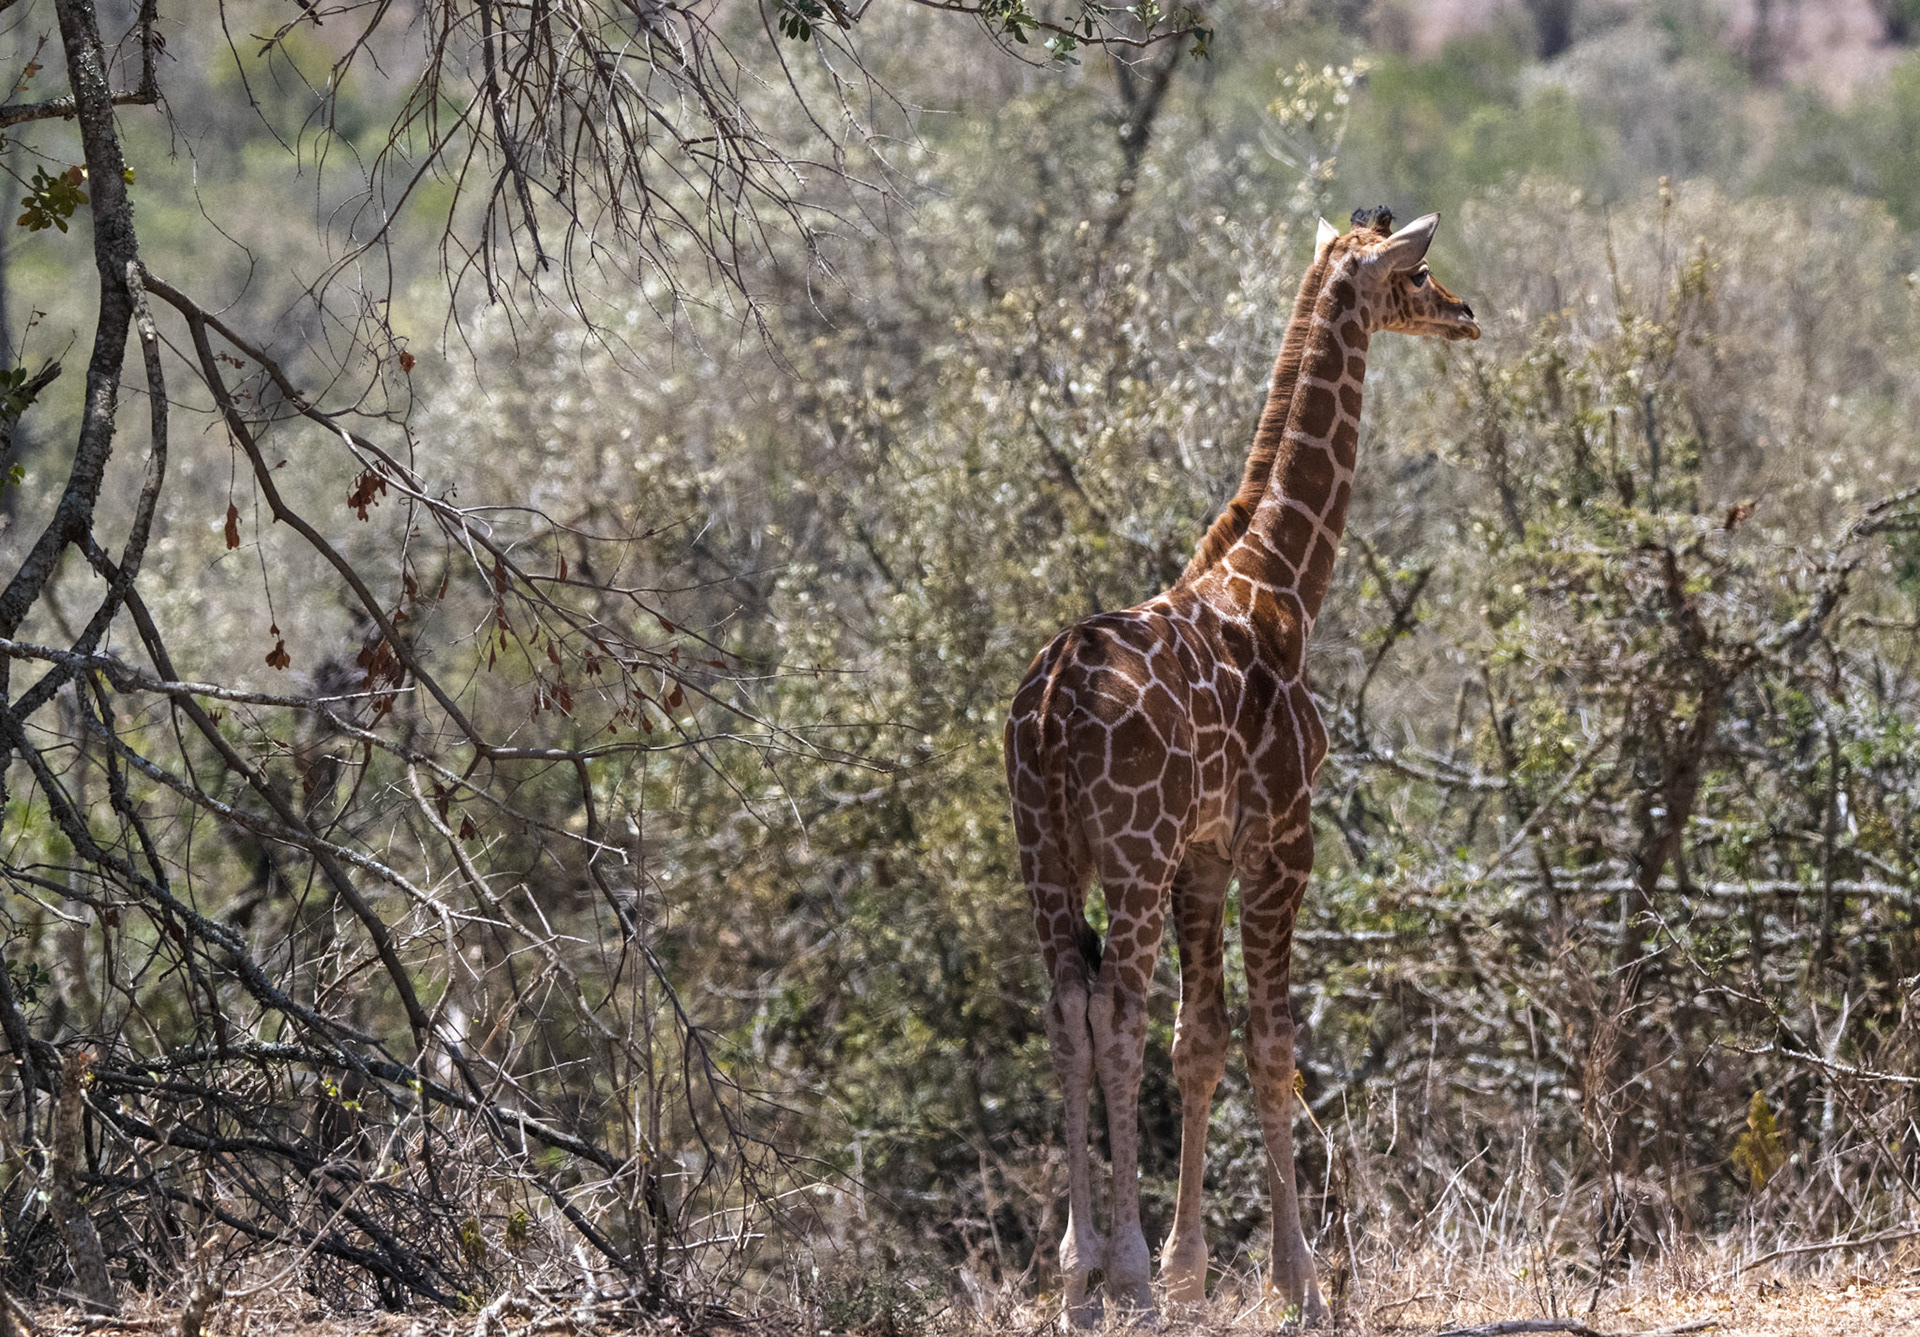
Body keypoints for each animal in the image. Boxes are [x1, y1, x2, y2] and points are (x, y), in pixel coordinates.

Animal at [1004, 208, 1478, 1327]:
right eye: (1417, 272)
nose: (1466, 312)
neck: (1281, 585)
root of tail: (1047, 708)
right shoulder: (1280, 842)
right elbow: (1270, 1046)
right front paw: (1293, 1276)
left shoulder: (1205, 855)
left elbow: (1203, 1040)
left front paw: (1193, 1267)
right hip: (1126, 855)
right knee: (1115, 1015)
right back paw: (1123, 1273)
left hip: (1045, 853)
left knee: (1066, 1009)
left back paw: (1078, 1271)